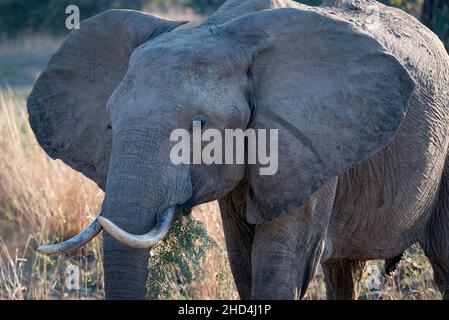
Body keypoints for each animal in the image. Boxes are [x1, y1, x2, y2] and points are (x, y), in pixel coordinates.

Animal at [27, 0, 448, 300]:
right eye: (110, 124)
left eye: (200, 125)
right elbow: (243, 261)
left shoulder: (306, 144)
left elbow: (279, 266)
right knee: (343, 273)